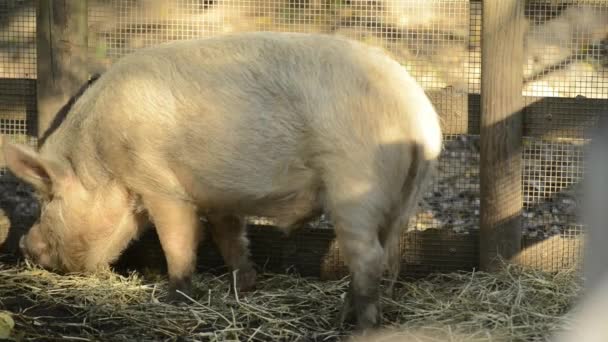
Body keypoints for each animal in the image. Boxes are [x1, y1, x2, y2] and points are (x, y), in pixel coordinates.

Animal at [2, 31, 444, 328]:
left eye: (47, 200)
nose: (23, 245)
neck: (102, 161)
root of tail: (420, 116)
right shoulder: (219, 197)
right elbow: (229, 236)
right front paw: (243, 285)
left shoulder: (159, 183)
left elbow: (179, 240)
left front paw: (174, 298)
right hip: (402, 197)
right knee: (389, 254)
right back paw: (354, 315)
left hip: (354, 186)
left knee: (368, 256)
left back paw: (357, 327)